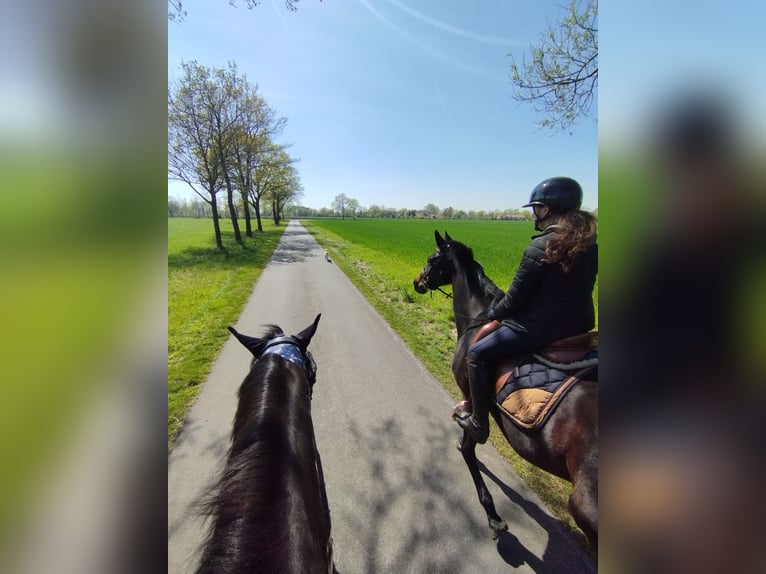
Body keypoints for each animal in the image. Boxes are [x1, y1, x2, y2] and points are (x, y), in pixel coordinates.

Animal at [413, 231, 598, 549]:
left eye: (431, 258)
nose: (417, 281)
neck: (477, 319)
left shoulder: (471, 399)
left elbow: (469, 446)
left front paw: (493, 516)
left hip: (587, 509)